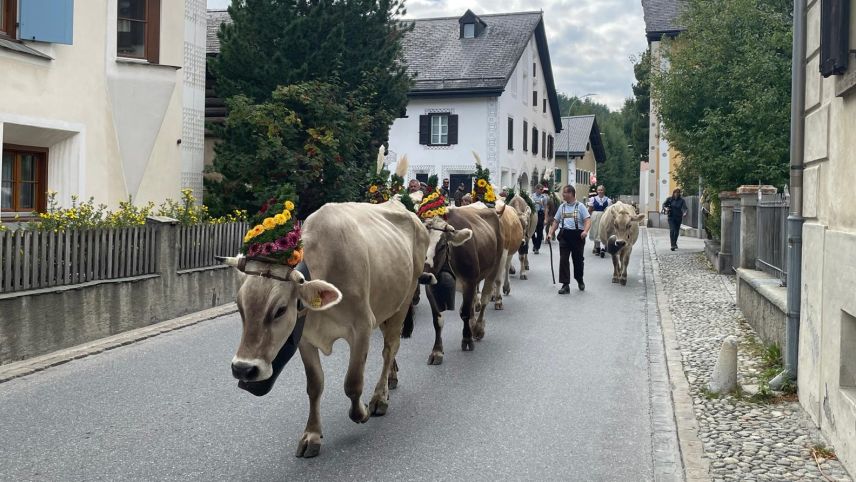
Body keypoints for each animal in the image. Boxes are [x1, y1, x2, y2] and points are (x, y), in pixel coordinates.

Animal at [214, 201, 428, 460]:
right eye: (240, 306)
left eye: (280, 310)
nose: (243, 369)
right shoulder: (304, 338)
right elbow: (315, 385)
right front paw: (312, 436)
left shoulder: (362, 327)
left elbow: (352, 382)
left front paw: (361, 412)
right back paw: (392, 378)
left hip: (405, 299)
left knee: (390, 348)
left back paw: (380, 397)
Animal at [420, 203, 504, 362]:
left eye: (441, 246)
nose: (423, 277)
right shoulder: (430, 286)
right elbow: (437, 320)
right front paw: (437, 351)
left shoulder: (469, 282)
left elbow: (464, 313)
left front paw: (467, 339)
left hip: (494, 268)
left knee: (484, 299)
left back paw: (477, 328)